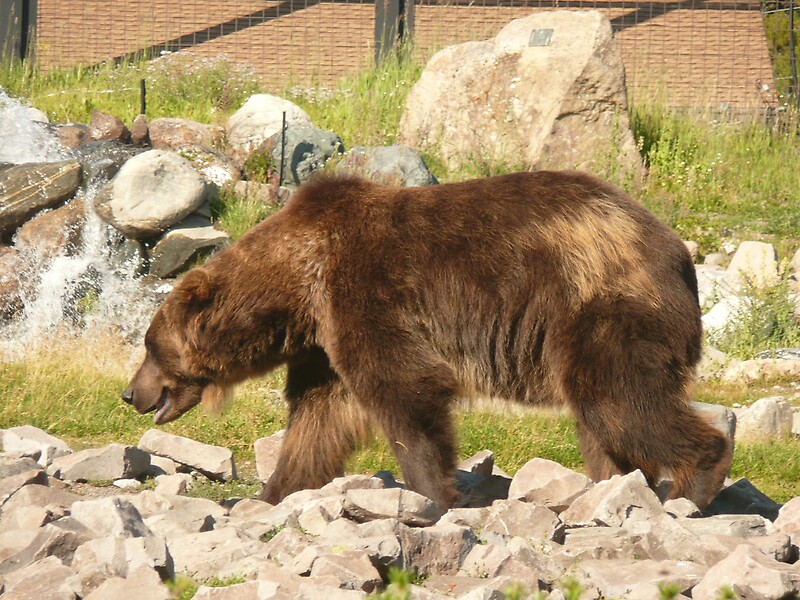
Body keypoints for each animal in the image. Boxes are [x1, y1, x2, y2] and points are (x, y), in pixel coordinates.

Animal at [122, 170, 732, 509]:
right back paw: (606, 489)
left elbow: (405, 390)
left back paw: (693, 482)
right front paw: (271, 493)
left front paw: (429, 495)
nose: (131, 393)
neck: (299, 284)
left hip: (597, 306)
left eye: (150, 346)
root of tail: (679, 255)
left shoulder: (367, 293)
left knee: (620, 400)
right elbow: (320, 416)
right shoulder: (324, 343)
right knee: (603, 420)